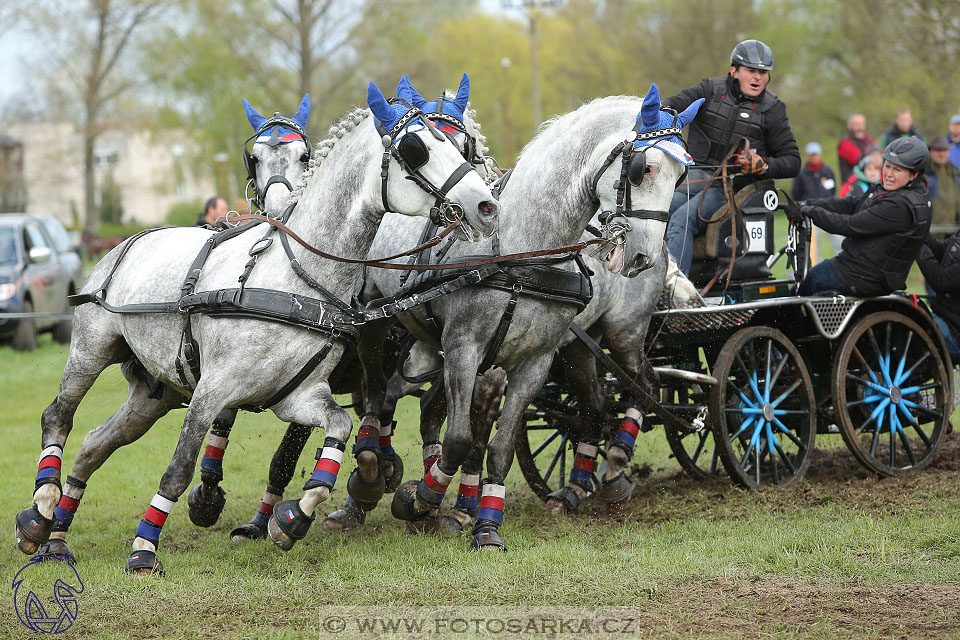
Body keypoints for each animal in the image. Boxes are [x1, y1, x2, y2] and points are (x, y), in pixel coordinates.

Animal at [18, 82, 498, 576]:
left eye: (462, 147)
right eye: (416, 149)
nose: (486, 205)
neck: (296, 276)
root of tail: (127, 241)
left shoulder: (298, 395)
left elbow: (338, 428)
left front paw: (293, 518)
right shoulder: (211, 390)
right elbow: (178, 470)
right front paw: (144, 549)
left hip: (154, 394)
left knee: (94, 444)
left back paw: (55, 539)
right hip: (91, 350)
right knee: (58, 417)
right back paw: (41, 508)